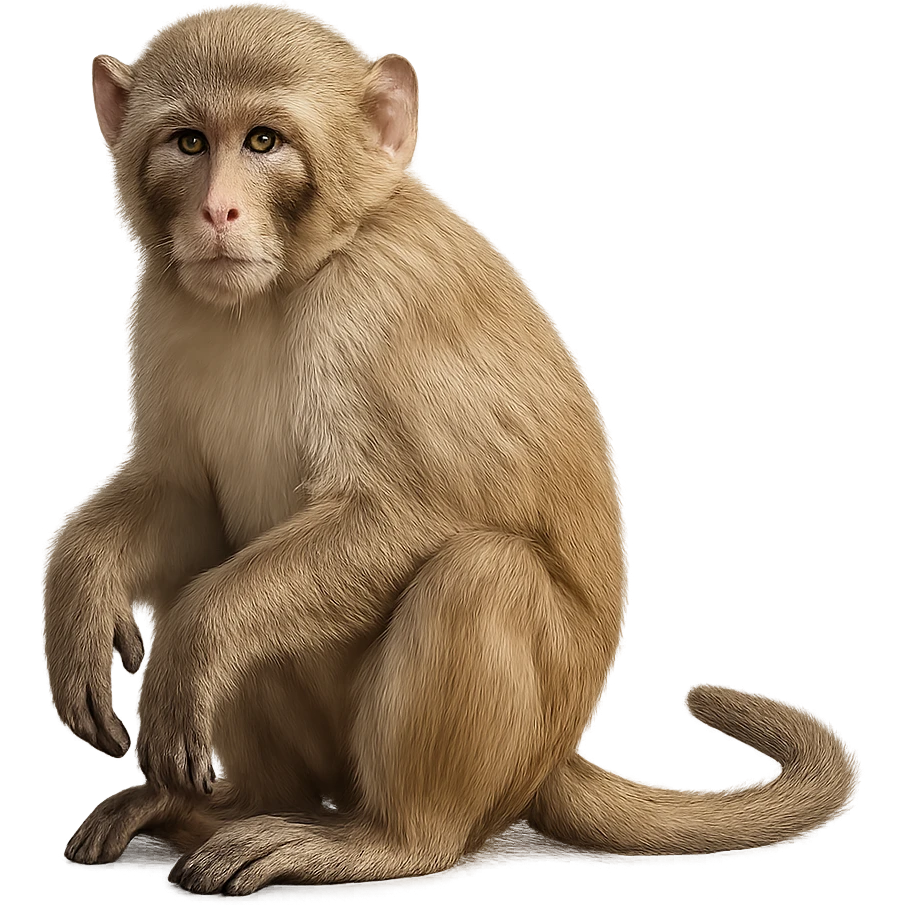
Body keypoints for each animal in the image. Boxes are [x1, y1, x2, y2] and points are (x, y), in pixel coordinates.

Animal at [43, 3, 863, 895]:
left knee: (479, 573)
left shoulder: (380, 302)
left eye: (263, 141)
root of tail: (553, 760)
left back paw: (385, 838)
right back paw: (192, 807)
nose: (217, 212)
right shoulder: (159, 304)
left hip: (515, 742)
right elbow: (183, 497)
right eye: (189, 143)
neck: (291, 280)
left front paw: (194, 638)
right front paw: (82, 588)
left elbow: (411, 512)